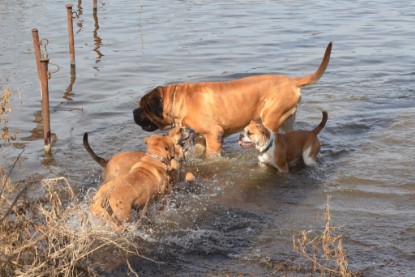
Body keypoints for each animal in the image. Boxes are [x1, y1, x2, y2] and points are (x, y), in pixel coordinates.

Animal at [135, 41, 334, 156]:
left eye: (143, 107)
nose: (133, 112)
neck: (178, 100)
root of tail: (292, 80)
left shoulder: (214, 134)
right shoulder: (200, 137)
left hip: (271, 117)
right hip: (287, 119)